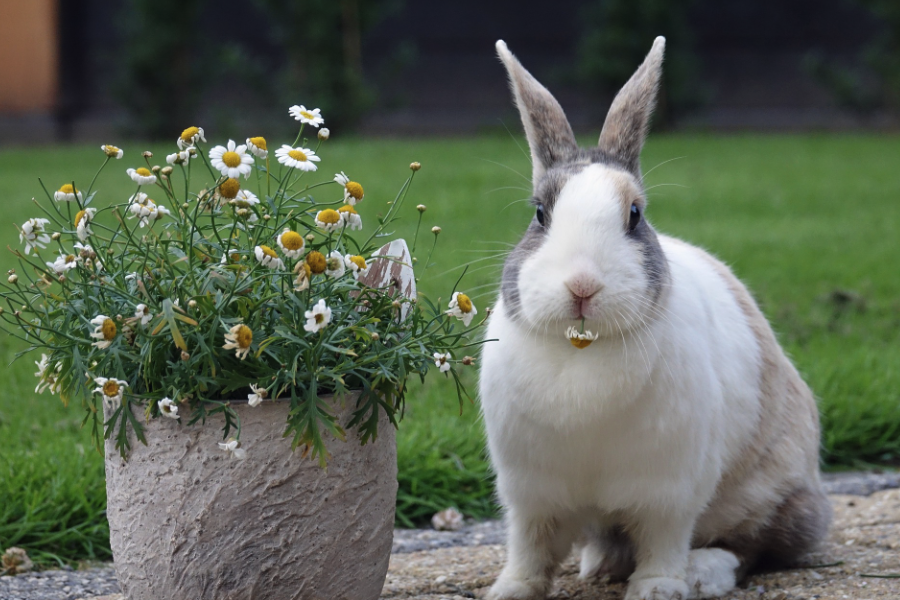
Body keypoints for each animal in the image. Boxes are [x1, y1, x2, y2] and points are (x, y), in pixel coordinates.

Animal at [478, 37, 828, 600]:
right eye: (539, 214)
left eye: (635, 215)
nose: (582, 285)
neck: (583, 347)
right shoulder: (529, 492)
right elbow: (529, 544)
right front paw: (510, 590)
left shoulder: (669, 490)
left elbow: (664, 538)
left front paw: (657, 588)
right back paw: (599, 563)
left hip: (768, 494)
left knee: (756, 545)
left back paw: (703, 572)